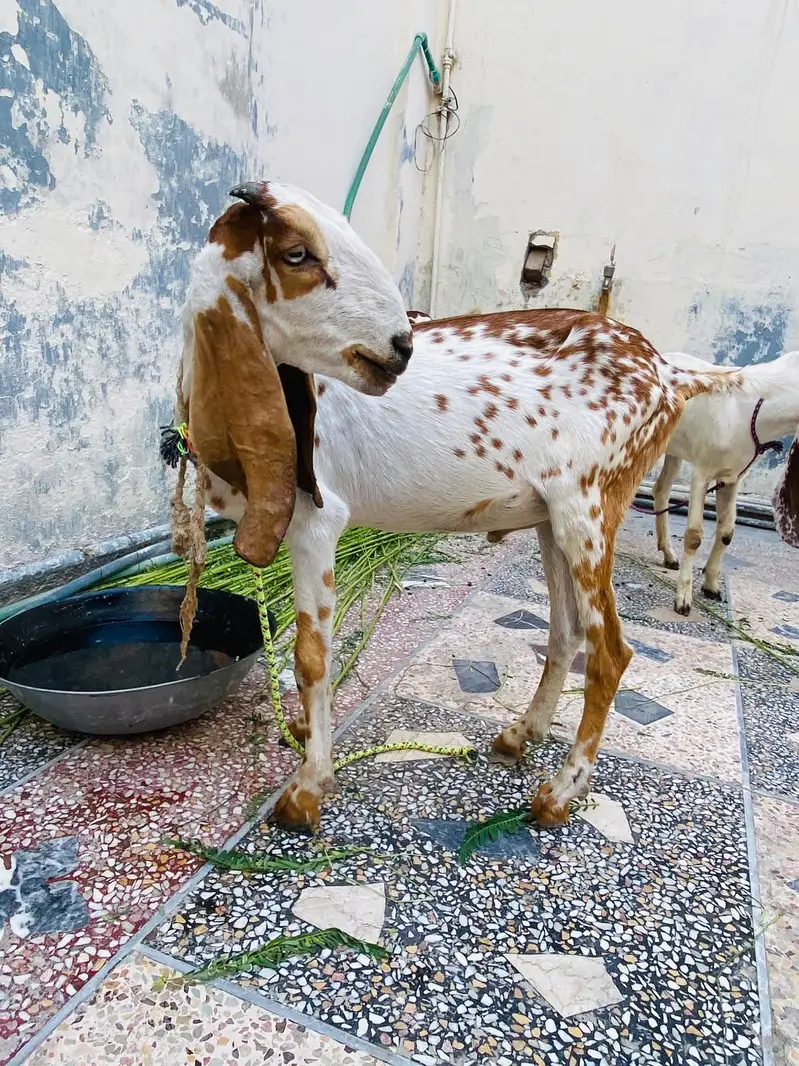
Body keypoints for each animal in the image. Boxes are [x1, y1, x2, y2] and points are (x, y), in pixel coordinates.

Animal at [651, 350, 799, 614]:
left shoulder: (732, 478)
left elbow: (727, 532)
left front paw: (710, 586)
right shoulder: (701, 472)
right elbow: (694, 535)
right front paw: (683, 600)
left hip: (674, 449)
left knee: (661, 488)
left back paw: (668, 554)